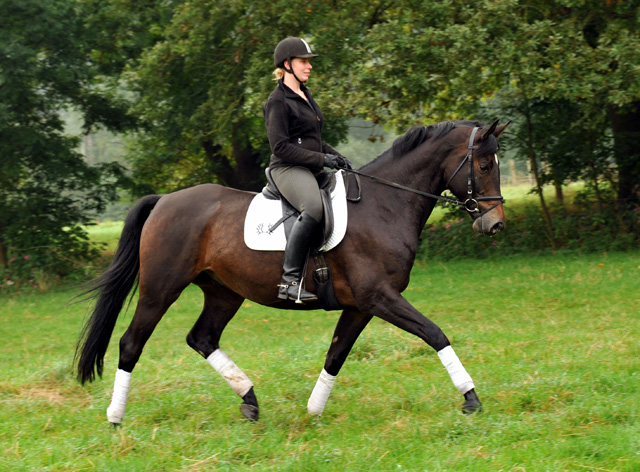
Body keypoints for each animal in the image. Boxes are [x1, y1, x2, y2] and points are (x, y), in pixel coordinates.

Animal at [75, 118, 510, 424]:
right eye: (484, 164)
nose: (494, 225)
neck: (385, 204)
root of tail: (164, 200)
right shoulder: (379, 297)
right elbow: (434, 333)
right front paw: (471, 398)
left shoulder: (361, 306)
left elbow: (336, 354)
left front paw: (313, 411)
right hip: (160, 289)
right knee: (131, 343)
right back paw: (116, 419)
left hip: (223, 292)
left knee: (202, 338)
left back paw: (250, 401)